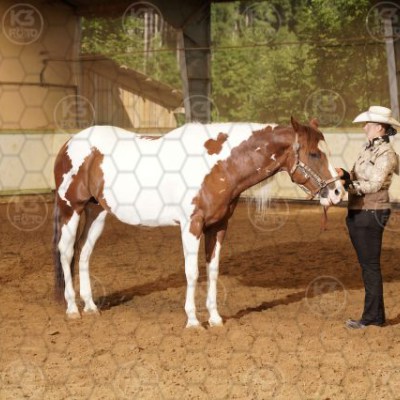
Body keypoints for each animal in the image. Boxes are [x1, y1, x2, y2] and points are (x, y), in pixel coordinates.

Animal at [53, 117, 343, 328]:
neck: (217, 164)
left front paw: (214, 318)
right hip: (71, 209)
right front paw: (193, 320)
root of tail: (69, 143)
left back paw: (90, 307)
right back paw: (72, 309)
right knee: (66, 252)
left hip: (97, 213)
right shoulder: (191, 225)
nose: (338, 192)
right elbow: (192, 272)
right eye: (314, 154)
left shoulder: (218, 226)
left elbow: (212, 271)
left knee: (84, 253)